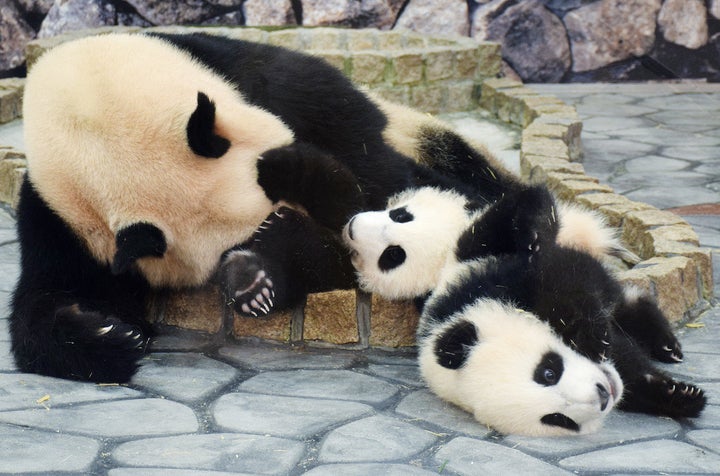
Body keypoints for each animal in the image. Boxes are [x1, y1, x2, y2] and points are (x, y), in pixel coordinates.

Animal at [12, 31, 516, 382]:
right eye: (252, 231)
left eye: (271, 210)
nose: (343, 233)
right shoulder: (60, 216)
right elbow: (48, 291)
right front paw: (105, 334)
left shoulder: (271, 84)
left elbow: (369, 174)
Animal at [344, 185, 704, 436]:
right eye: (557, 419)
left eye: (547, 372)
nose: (603, 397)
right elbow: (628, 371)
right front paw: (677, 395)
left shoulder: (491, 275)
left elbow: (531, 222)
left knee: (620, 298)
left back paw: (666, 345)